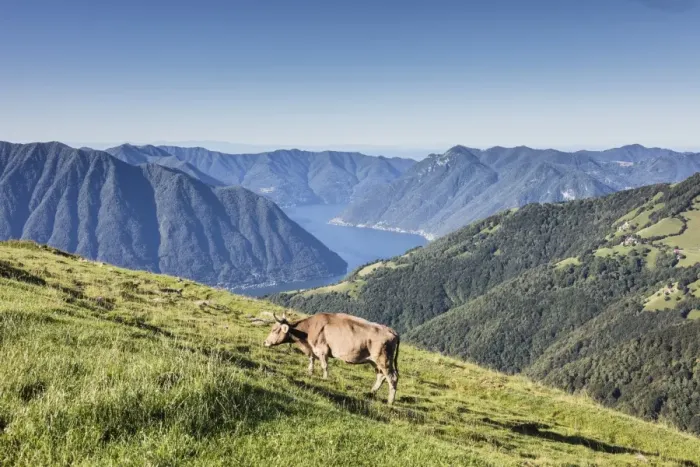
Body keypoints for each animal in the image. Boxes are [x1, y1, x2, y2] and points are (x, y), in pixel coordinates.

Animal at [263, 312, 400, 404]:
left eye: (274, 330)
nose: (265, 342)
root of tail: (391, 330)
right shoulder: (313, 350)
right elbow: (311, 360)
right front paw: (310, 372)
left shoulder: (322, 350)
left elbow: (324, 366)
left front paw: (325, 379)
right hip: (374, 360)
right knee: (381, 375)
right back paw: (371, 392)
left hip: (383, 359)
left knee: (392, 377)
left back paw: (390, 401)